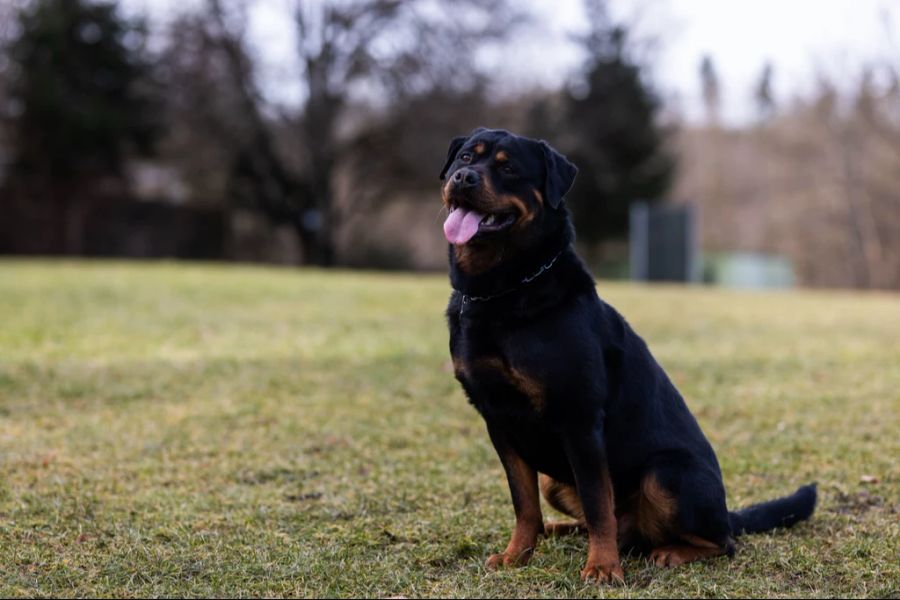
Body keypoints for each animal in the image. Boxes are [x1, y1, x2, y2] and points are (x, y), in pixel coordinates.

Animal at [440, 129, 820, 584]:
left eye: (508, 167)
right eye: (465, 157)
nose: (463, 178)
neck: (502, 291)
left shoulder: (580, 419)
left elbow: (598, 504)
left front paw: (602, 568)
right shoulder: (498, 420)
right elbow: (524, 503)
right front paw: (517, 556)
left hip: (666, 475)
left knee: (721, 541)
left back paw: (669, 551)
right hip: (555, 479)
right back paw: (560, 530)